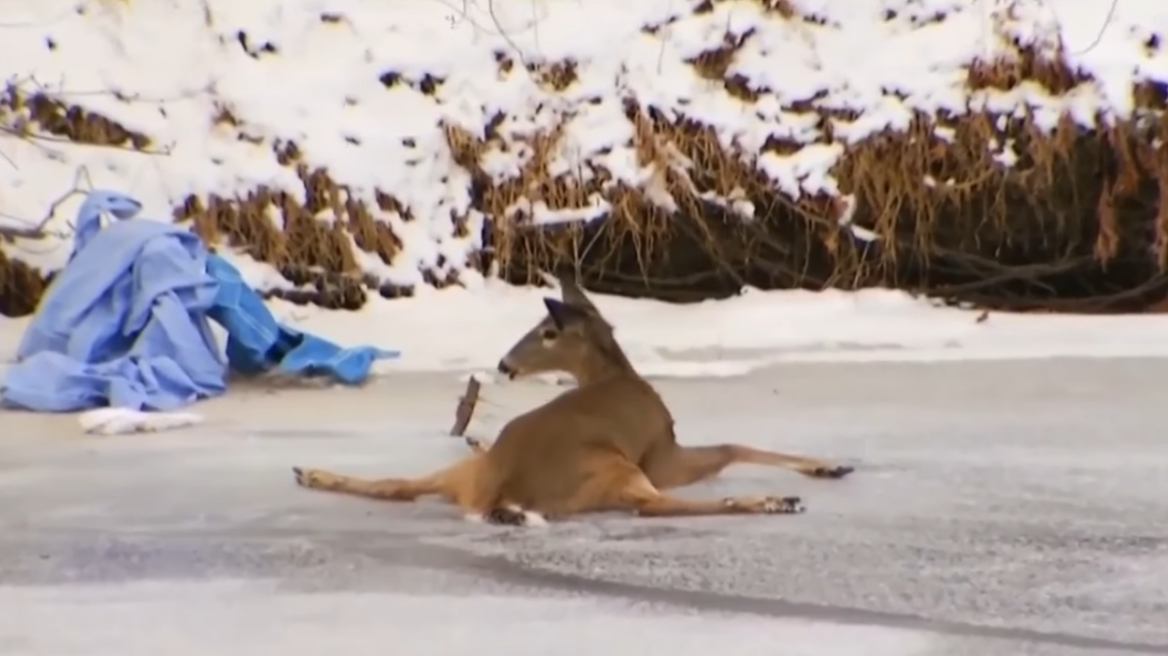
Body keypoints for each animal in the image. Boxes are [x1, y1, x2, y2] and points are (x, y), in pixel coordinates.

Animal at [289, 273, 859, 522]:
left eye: (546, 331)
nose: (505, 364)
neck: (615, 377)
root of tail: (500, 487)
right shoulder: (662, 452)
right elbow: (733, 446)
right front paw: (827, 464)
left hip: (467, 472)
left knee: (397, 484)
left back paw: (311, 471)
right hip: (613, 467)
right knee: (653, 506)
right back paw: (772, 501)